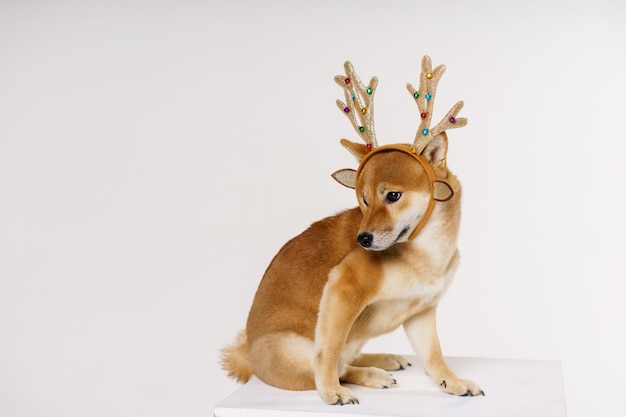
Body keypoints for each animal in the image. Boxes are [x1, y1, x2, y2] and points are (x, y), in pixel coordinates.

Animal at [221, 55, 482, 404]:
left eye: (393, 196)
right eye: (364, 200)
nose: (363, 239)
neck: (426, 252)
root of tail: (248, 353)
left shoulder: (422, 312)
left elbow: (434, 356)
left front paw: (452, 383)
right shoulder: (342, 288)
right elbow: (328, 353)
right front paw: (331, 391)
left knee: (348, 358)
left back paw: (383, 359)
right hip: (289, 348)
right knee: (335, 365)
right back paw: (368, 375)